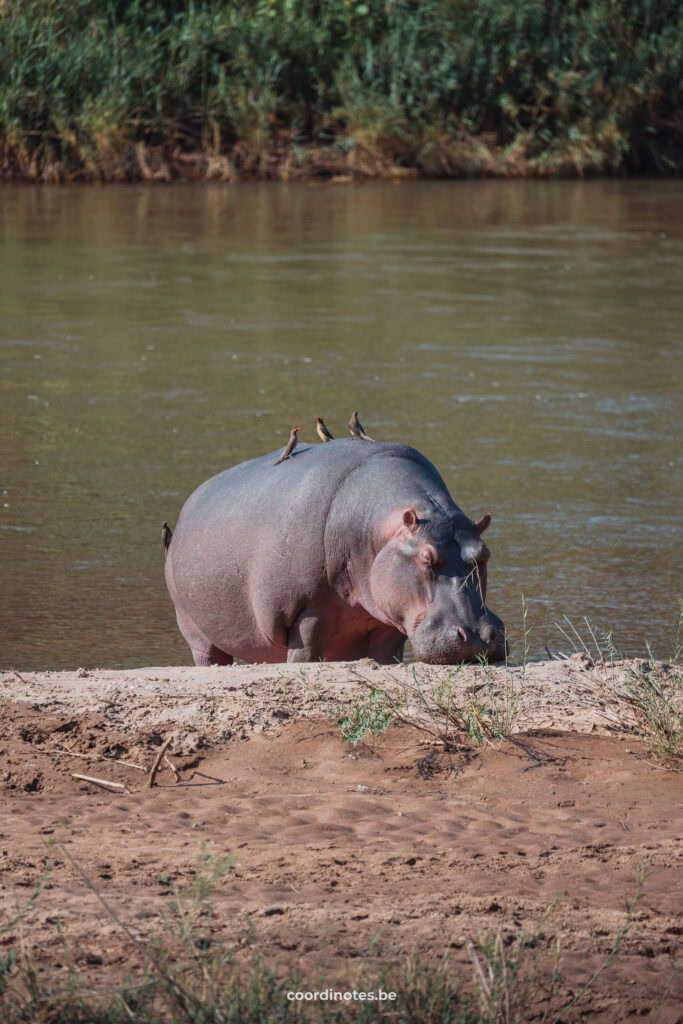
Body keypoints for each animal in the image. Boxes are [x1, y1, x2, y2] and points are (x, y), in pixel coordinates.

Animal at [164, 438, 505, 663]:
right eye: (426, 557)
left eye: (484, 554)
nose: (476, 637)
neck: (377, 528)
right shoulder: (307, 612)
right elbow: (304, 654)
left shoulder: (390, 619)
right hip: (197, 633)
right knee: (209, 655)